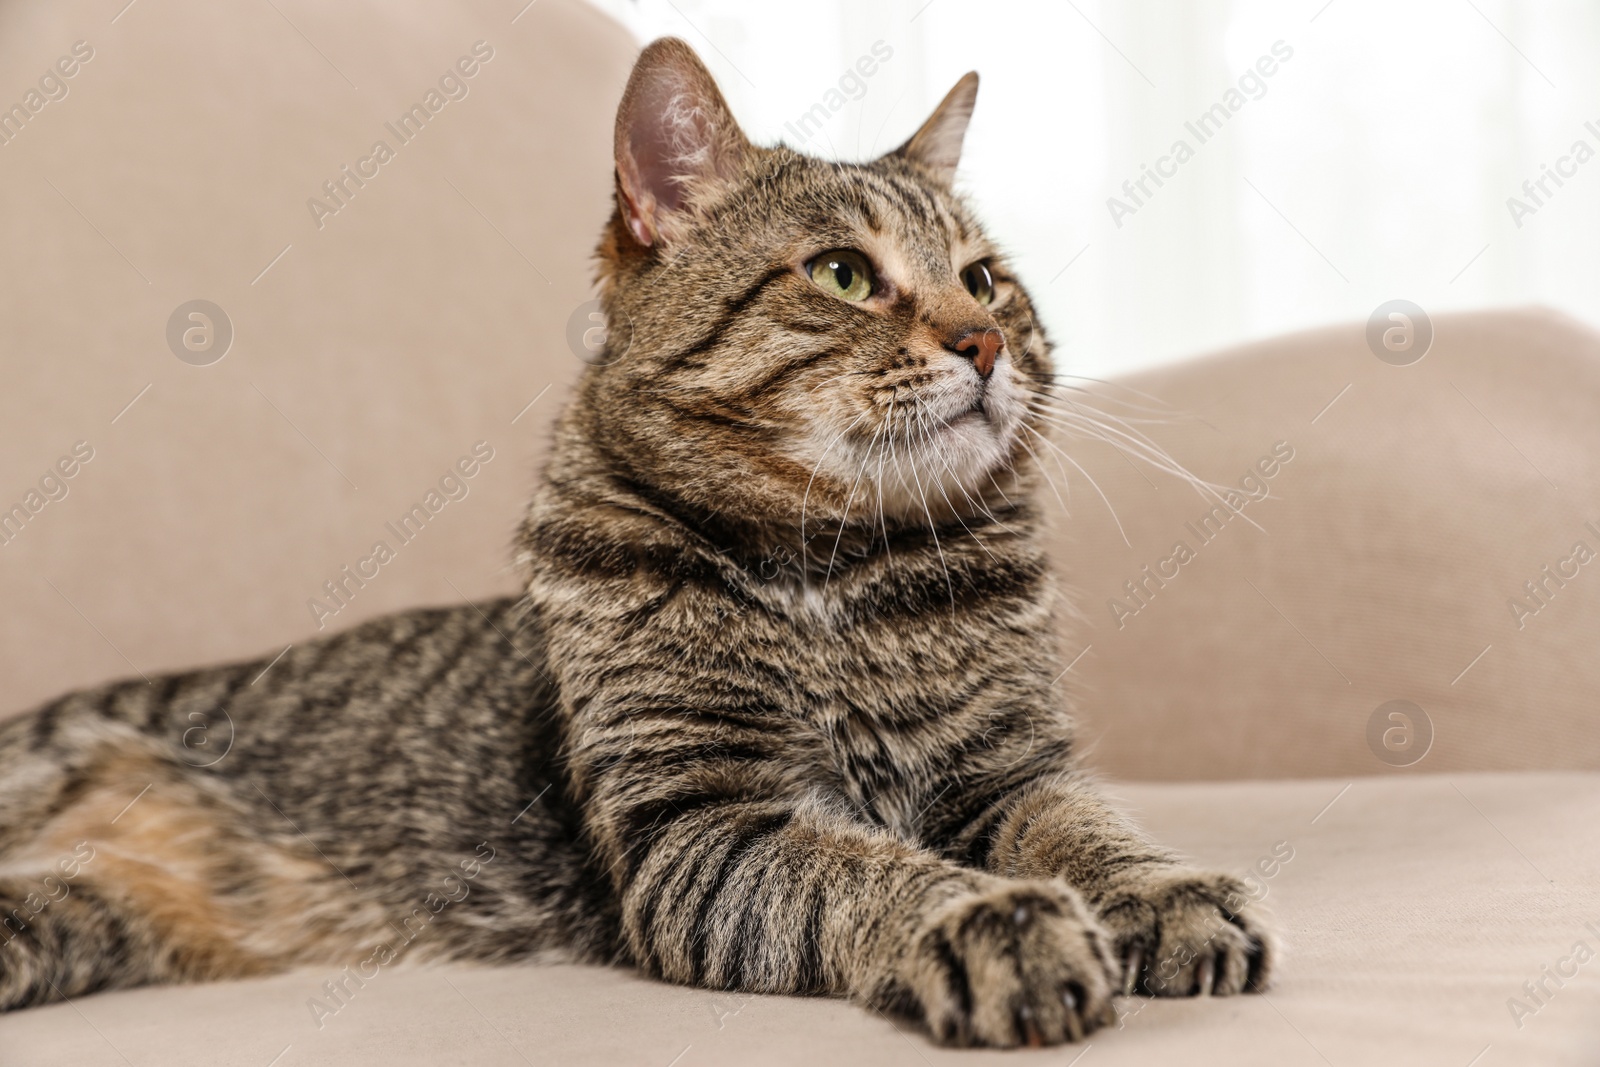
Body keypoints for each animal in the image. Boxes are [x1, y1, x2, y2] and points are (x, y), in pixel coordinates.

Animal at [0, 37, 1273, 1049]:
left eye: (985, 280)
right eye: (844, 274)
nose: (984, 342)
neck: (836, 577)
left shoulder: (1007, 765)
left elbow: (1082, 825)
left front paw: (1160, 888)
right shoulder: (701, 826)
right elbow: (870, 869)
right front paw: (985, 917)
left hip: (75, 917)